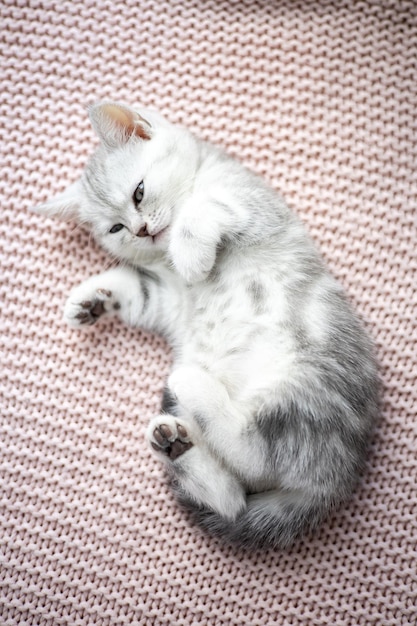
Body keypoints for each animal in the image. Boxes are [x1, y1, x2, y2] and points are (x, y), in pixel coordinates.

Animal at [37, 101, 378, 544]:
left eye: (139, 193)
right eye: (115, 229)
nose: (141, 230)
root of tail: (336, 480)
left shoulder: (255, 206)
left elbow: (205, 207)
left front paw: (190, 253)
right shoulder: (169, 297)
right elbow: (137, 289)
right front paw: (90, 299)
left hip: (303, 382)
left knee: (255, 454)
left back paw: (191, 386)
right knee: (235, 498)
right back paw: (176, 444)